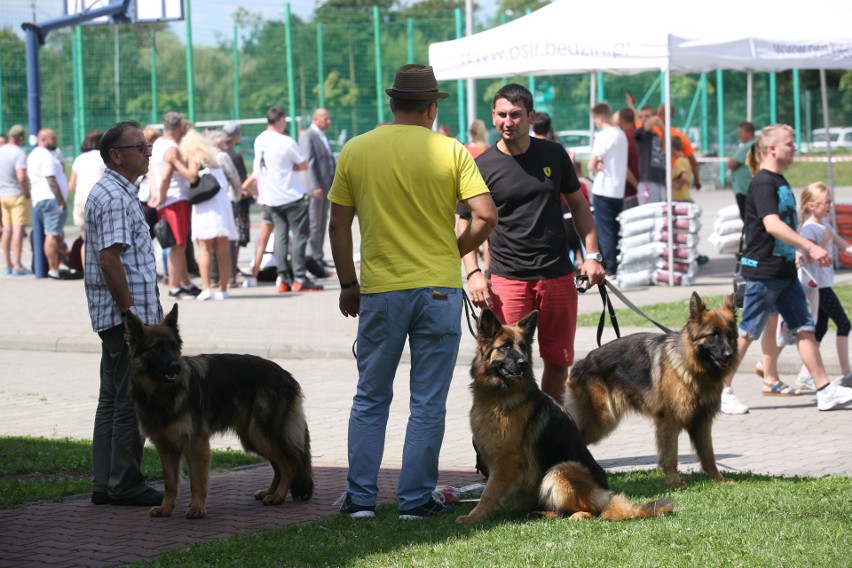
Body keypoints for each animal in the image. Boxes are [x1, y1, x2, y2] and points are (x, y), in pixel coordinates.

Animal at [123, 306, 312, 520]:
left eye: (173, 346)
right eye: (156, 347)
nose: (176, 366)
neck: (161, 392)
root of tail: (286, 375)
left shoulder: (196, 443)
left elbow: (197, 480)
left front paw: (197, 508)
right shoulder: (165, 446)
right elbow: (170, 481)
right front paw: (166, 508)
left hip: (260, 433)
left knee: (289, 463)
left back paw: (278, 496)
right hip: (253, 437)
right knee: (279, 464)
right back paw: (270, 492)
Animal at [456, 310, 676, 524]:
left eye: (523, 346)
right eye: (505, 347)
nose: (524, 363)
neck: (499, 396)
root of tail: (605, 496)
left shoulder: (507, 460)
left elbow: (489, 493)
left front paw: (474, 517)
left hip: (560, 469)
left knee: (593, 511)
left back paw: (577, 515)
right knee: (561, 510)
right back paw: (541, 513)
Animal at [564, 296, 740, 486]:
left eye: (729, 334)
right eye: (713, 335)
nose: (730, 354)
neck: (691, 365)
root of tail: (581, 362)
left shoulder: (702, 421)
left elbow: (709, 454)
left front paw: (719, 479)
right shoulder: (669, 420)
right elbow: (671, 455)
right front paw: (675, 482)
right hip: (601, 419)